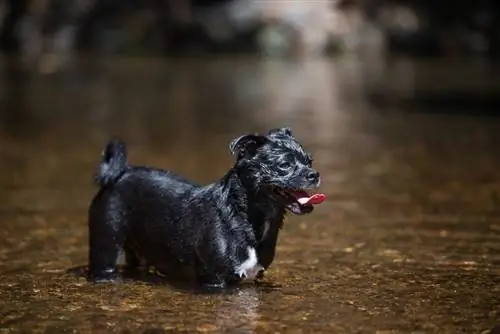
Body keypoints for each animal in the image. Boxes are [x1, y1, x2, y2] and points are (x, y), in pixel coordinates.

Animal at [88, 126, 326, 288]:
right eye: (284, 165)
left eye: (309, 161)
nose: (314, 174)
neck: (244, 216)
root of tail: (120, 174)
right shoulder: (214, 280)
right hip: (105, 249)